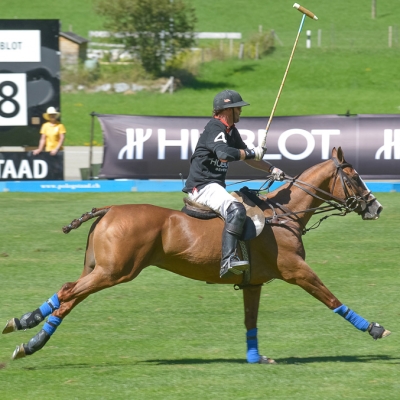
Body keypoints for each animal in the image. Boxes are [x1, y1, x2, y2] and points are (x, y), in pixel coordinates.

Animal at [3, 147, 390, 362]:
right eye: (355, 178)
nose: (377, 207)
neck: (285, 214)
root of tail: (110, 208)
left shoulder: (254, 283)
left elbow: (251, 321)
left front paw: (255, 358)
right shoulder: (296, 270)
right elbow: (332, 299)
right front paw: (375, 328)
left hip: (102, 269)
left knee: (68, 298)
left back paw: (28, 336)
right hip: (116, 271)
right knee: (68, 292)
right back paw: (27, 328)